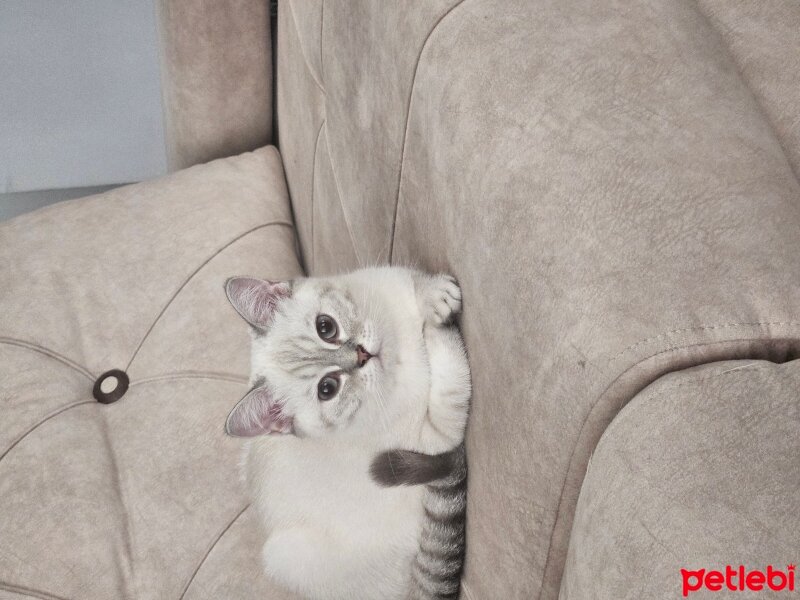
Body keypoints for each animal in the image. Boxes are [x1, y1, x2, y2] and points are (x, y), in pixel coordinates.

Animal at [222, 268, 472, 600]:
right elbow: (454, 385)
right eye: (327, 388)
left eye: (325, 327)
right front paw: (436, 328)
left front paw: (435, 298)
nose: (362, 355)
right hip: (285, 556)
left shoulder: (384, 279)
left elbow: (412, 281)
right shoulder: (437, 437)